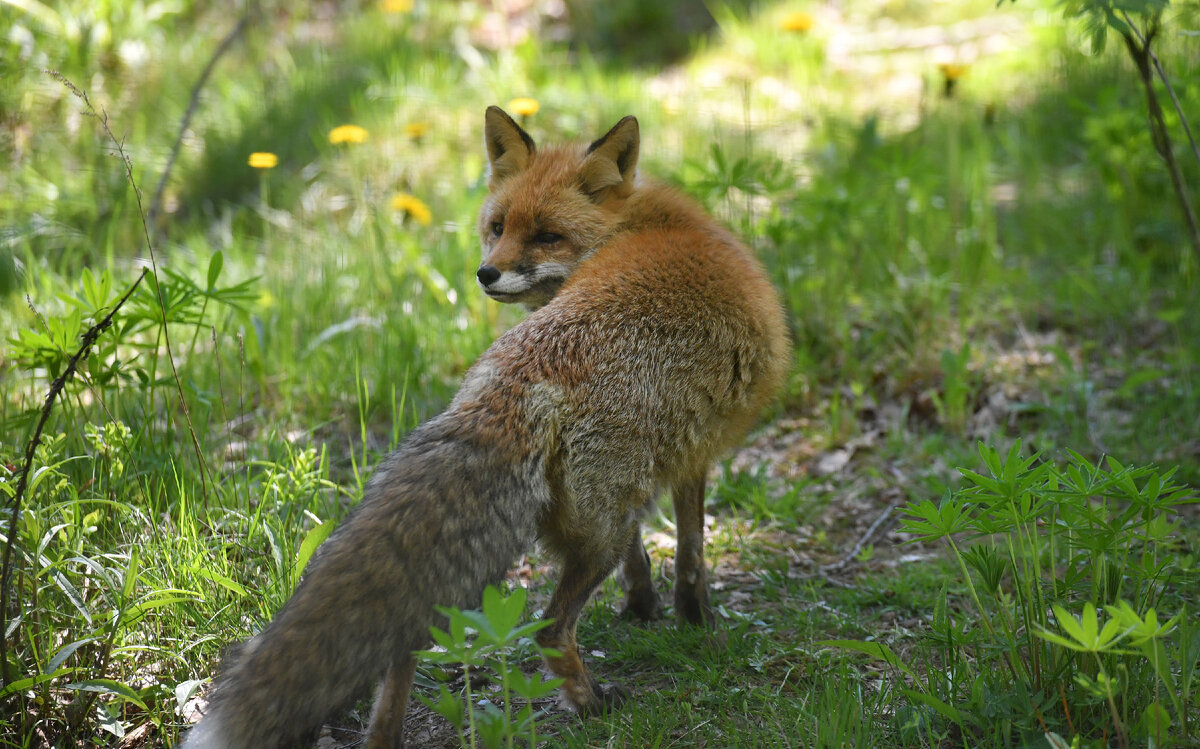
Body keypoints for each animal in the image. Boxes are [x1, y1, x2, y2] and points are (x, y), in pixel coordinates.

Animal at [182, 106, 792, 749]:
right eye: (499, 226)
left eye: (546, 235)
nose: (485, 273)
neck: (636, 224)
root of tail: (526, 373)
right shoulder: (693, 457)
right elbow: (692, 551)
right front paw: (695, 620)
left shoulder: (660, 465)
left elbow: (642, 560)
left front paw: (644, 607)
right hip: (599, 530)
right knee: (550, 629)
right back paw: (592, 704)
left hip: (573, 521)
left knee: (403, 646)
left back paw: (385, 735)